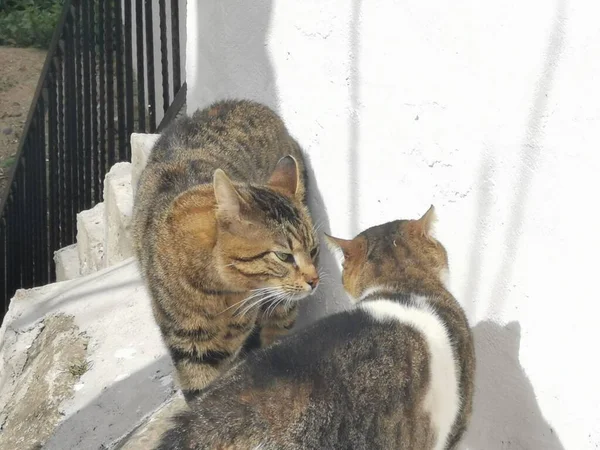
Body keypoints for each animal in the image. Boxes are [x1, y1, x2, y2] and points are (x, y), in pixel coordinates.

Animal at [130, 100, 318, 402]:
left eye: (312, 250)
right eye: (284, 256)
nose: (315, 280)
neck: (217, 292)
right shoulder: (188, 343)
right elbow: (200, 389)